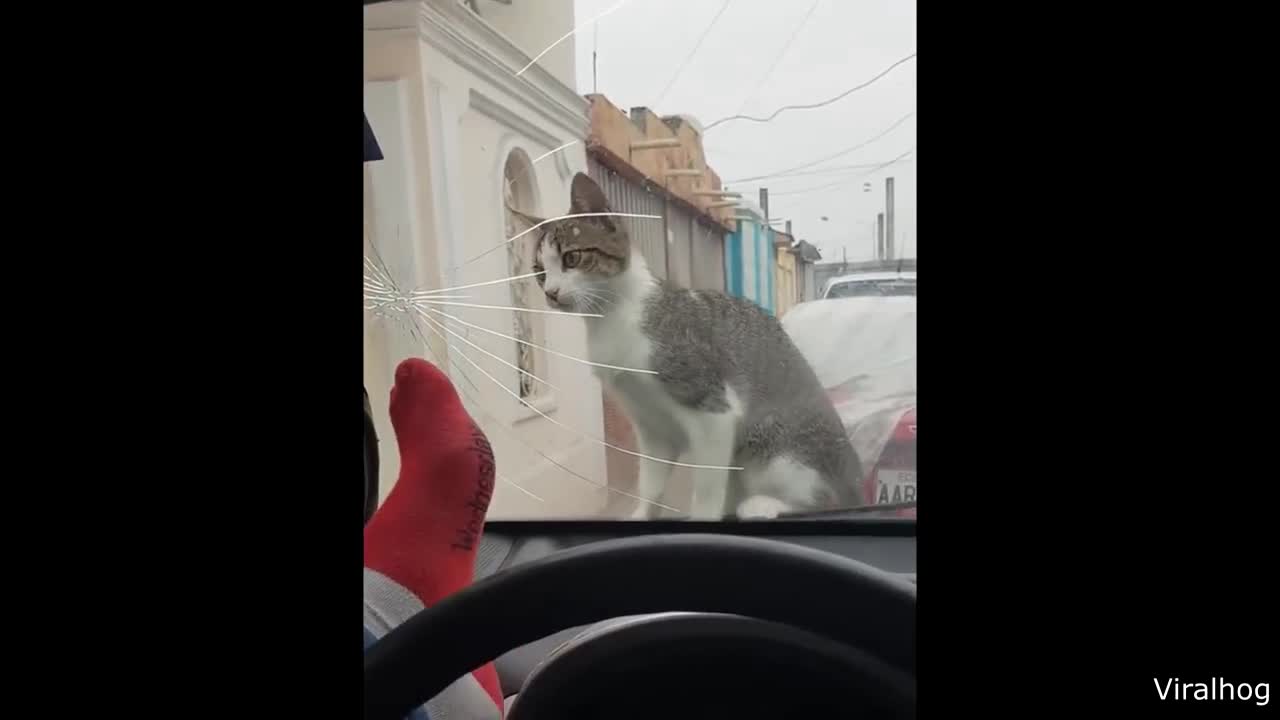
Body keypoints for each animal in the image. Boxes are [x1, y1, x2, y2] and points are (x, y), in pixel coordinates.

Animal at [506, 170, 860, 517]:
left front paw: (703, 515)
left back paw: (765, 504)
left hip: (773, 446)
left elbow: (706, 489)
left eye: (572, 257)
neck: (613, 317)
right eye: (538, 271)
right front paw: (643, 513)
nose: (551, 293)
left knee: (820, 497)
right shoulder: (650, 426)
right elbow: (650, 485)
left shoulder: (714, 411)